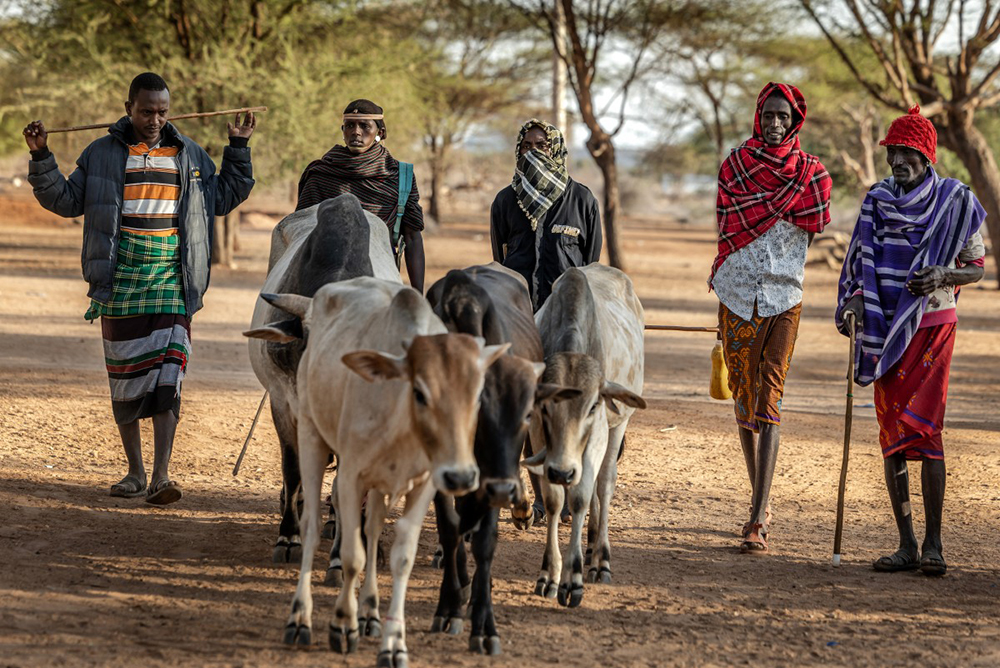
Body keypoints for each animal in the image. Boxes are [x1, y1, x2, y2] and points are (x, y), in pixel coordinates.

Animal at [245, 277, 508, 667]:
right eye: (420, 391)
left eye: (477, 394)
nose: (462, 476)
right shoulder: (351, 472)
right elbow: (351, 552)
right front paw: (342, 623)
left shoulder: (422, 485)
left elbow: (400, 556)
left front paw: (392, 643)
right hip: (310, 434)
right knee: (311, 525)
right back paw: (300, 616)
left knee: (371, 527)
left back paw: (369, 612)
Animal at [521, 264, 647, 608]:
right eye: (546, 407)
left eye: (592, 406)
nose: (563, 471)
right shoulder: (542, 437)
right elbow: (554, 499)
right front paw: (549, 575)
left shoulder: (599, 431)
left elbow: (578, 497)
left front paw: (573, 579)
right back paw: (590, 548)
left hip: (617, 427)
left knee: (603, 485)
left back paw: (600, 558)